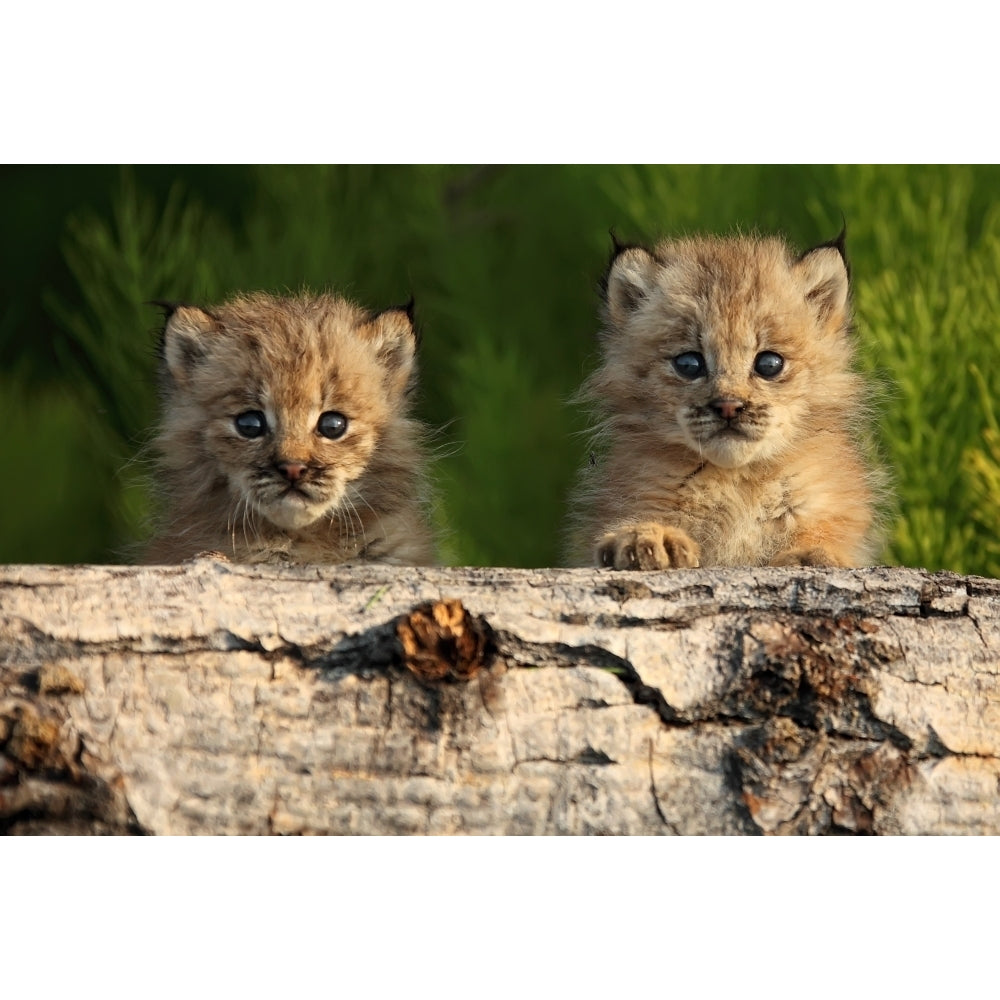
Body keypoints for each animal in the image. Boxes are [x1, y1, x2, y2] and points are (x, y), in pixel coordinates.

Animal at [572, 229, 884, 568]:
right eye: (688, 364)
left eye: (769, 364)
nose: (728, 407)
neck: (737, 481)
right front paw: (647, 535)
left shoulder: (822, 503)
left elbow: (824, 530)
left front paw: (813, 552)